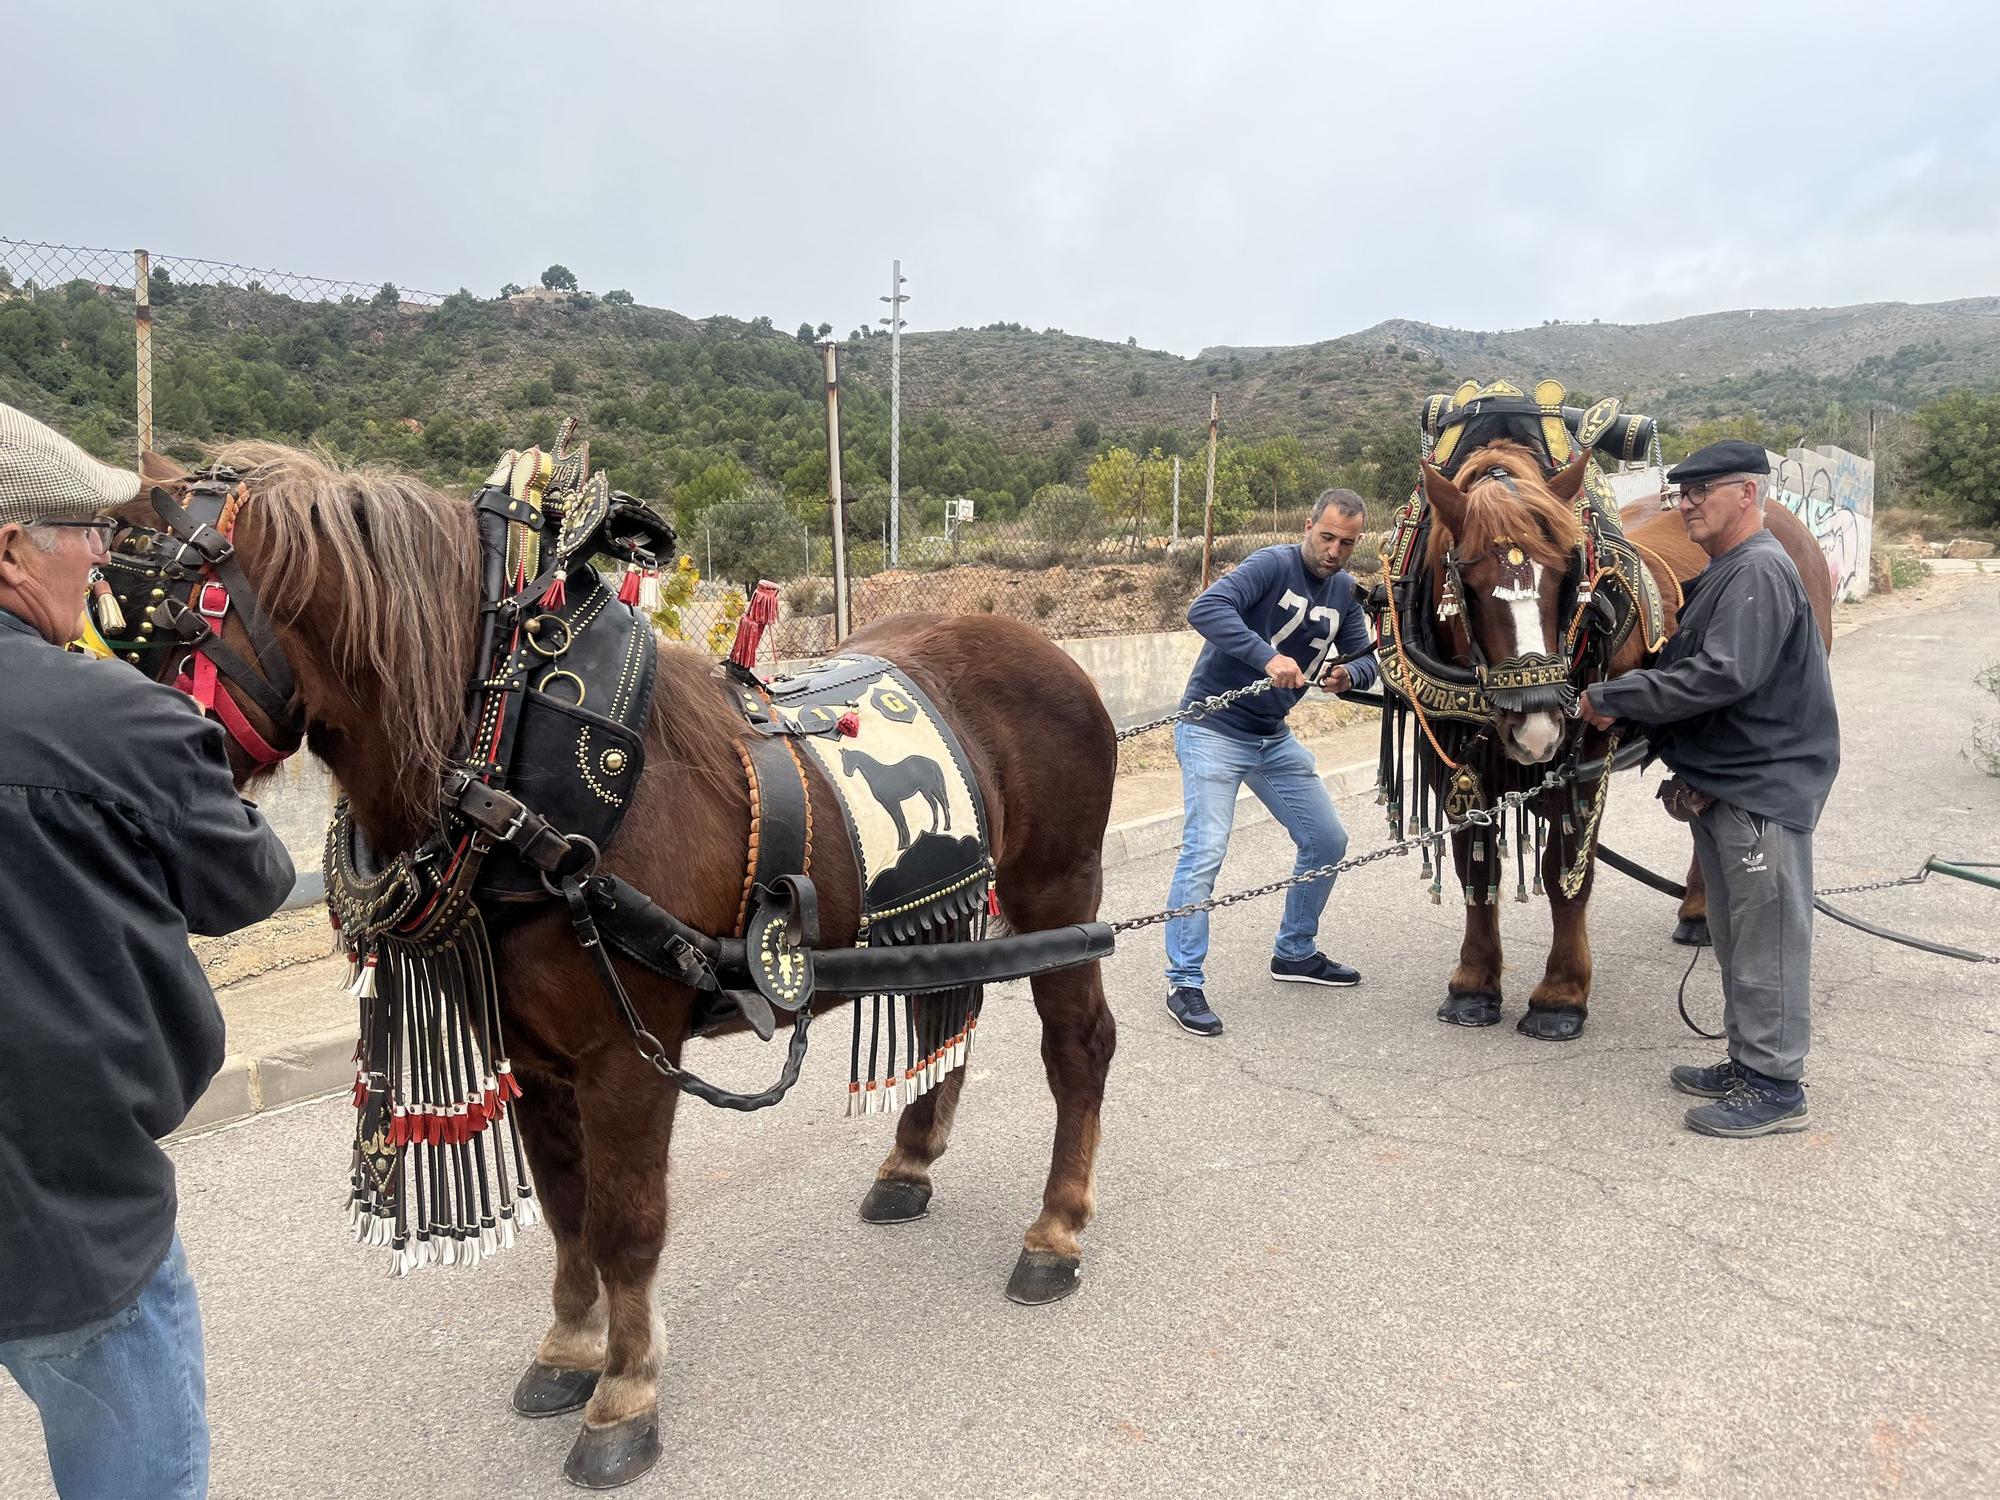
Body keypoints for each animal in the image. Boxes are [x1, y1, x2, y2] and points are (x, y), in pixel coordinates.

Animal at [121, 440, 1128, 1488]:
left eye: (161, 609)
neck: (512, 762)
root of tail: (1051, 655)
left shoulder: (626, 1057)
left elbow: (626, 1222)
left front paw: (625, 1396)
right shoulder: (531, 1057)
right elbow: (569, 1211)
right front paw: (570, 1350)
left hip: (1060, 892)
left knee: (1079, 1048)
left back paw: (1056, 1229)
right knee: (948, 1016)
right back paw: (911, 1162)